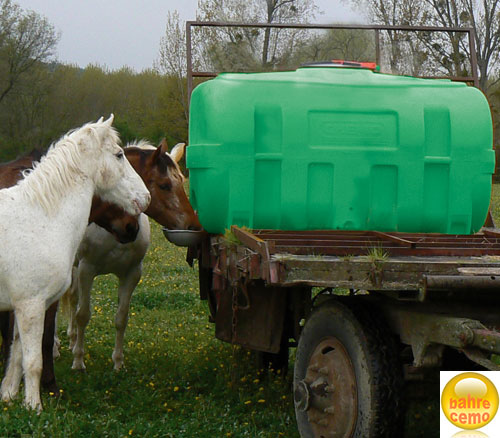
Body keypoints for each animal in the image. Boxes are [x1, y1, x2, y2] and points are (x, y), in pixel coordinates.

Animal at [0, 114, 150, 408]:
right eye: (119, 155)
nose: (146, 197)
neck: (40, 217)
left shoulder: (23, 306)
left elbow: (17, 354)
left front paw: (9, 396)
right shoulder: (31, 305)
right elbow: (33, 361)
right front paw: (34, 407)